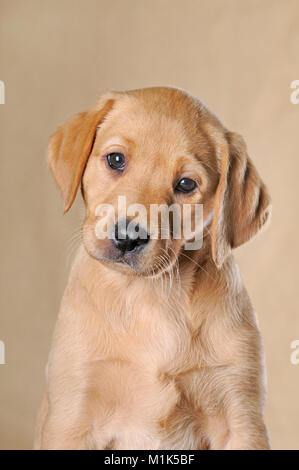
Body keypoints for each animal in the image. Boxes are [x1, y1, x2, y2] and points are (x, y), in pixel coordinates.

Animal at [35, 86, 272, 450]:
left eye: (186, 184)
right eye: (116, 160)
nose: (127, 237)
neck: (150, 296)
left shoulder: (241, 417)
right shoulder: (71, 416)